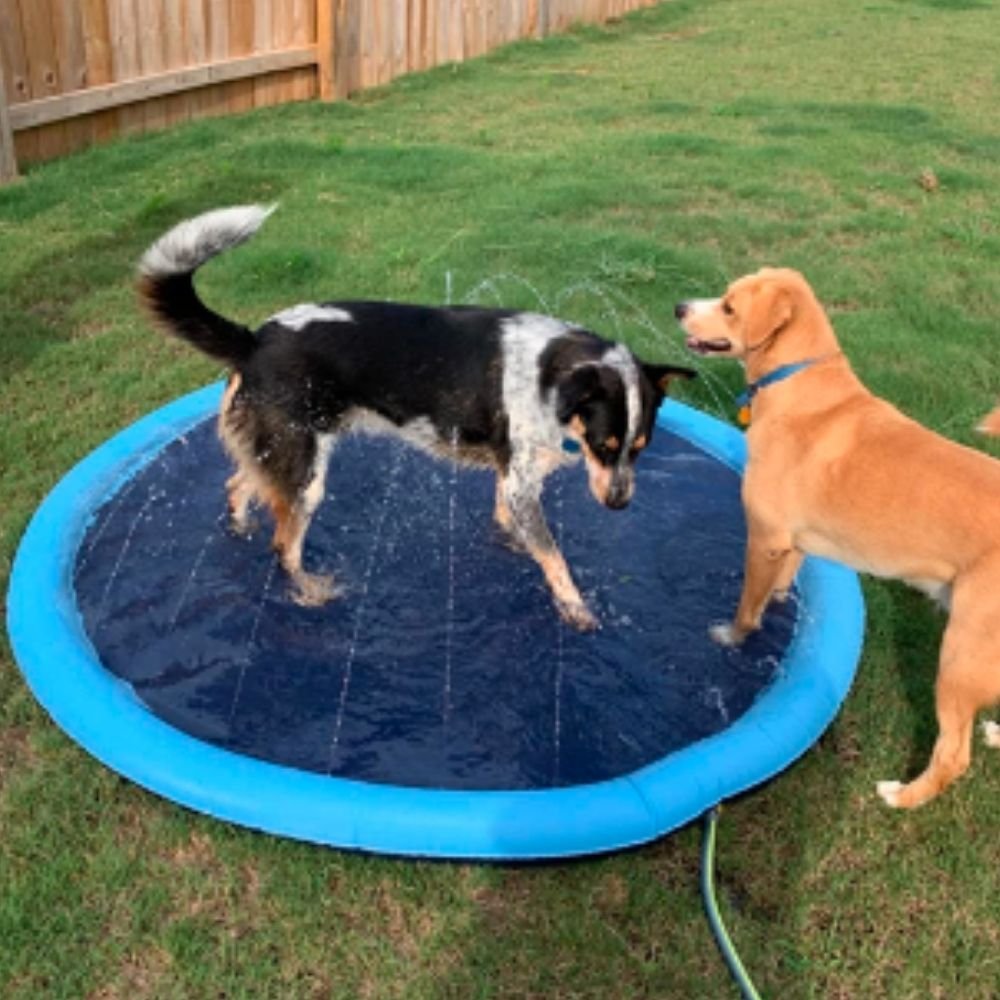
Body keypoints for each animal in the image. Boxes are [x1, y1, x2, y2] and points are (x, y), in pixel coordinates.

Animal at [139, 206, 696, 628]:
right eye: (605, 447)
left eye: (640, 449)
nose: (620, 505)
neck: (549, 370)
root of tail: (254, 339)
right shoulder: (521, 479)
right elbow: (554, 557)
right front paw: (576, 610)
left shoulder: (514, 478)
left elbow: (514, 528)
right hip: (305, 469)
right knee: (283, 545)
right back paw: (310, 590)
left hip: (278, 450)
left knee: (238, 485)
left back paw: (241, 530)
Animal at [672, 270, 1000, 808]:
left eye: (730, 307)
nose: (679, 306)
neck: (796, 379)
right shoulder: (793, 543)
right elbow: (780, 586)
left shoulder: (764, 537)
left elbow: (747, 605)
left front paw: (732, 637)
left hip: (962, 651)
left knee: (953, 755)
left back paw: (900, 796)